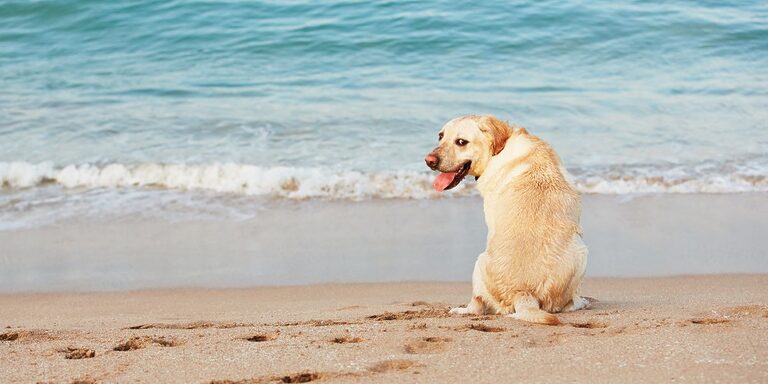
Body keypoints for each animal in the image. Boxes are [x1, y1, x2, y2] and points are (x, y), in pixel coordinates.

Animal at [426, 115, 588, 326]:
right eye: (440, 136)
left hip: (480, 263)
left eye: (461, 142)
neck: (500, 149)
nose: (429, 161)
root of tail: (524, 293)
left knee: (477, 305)